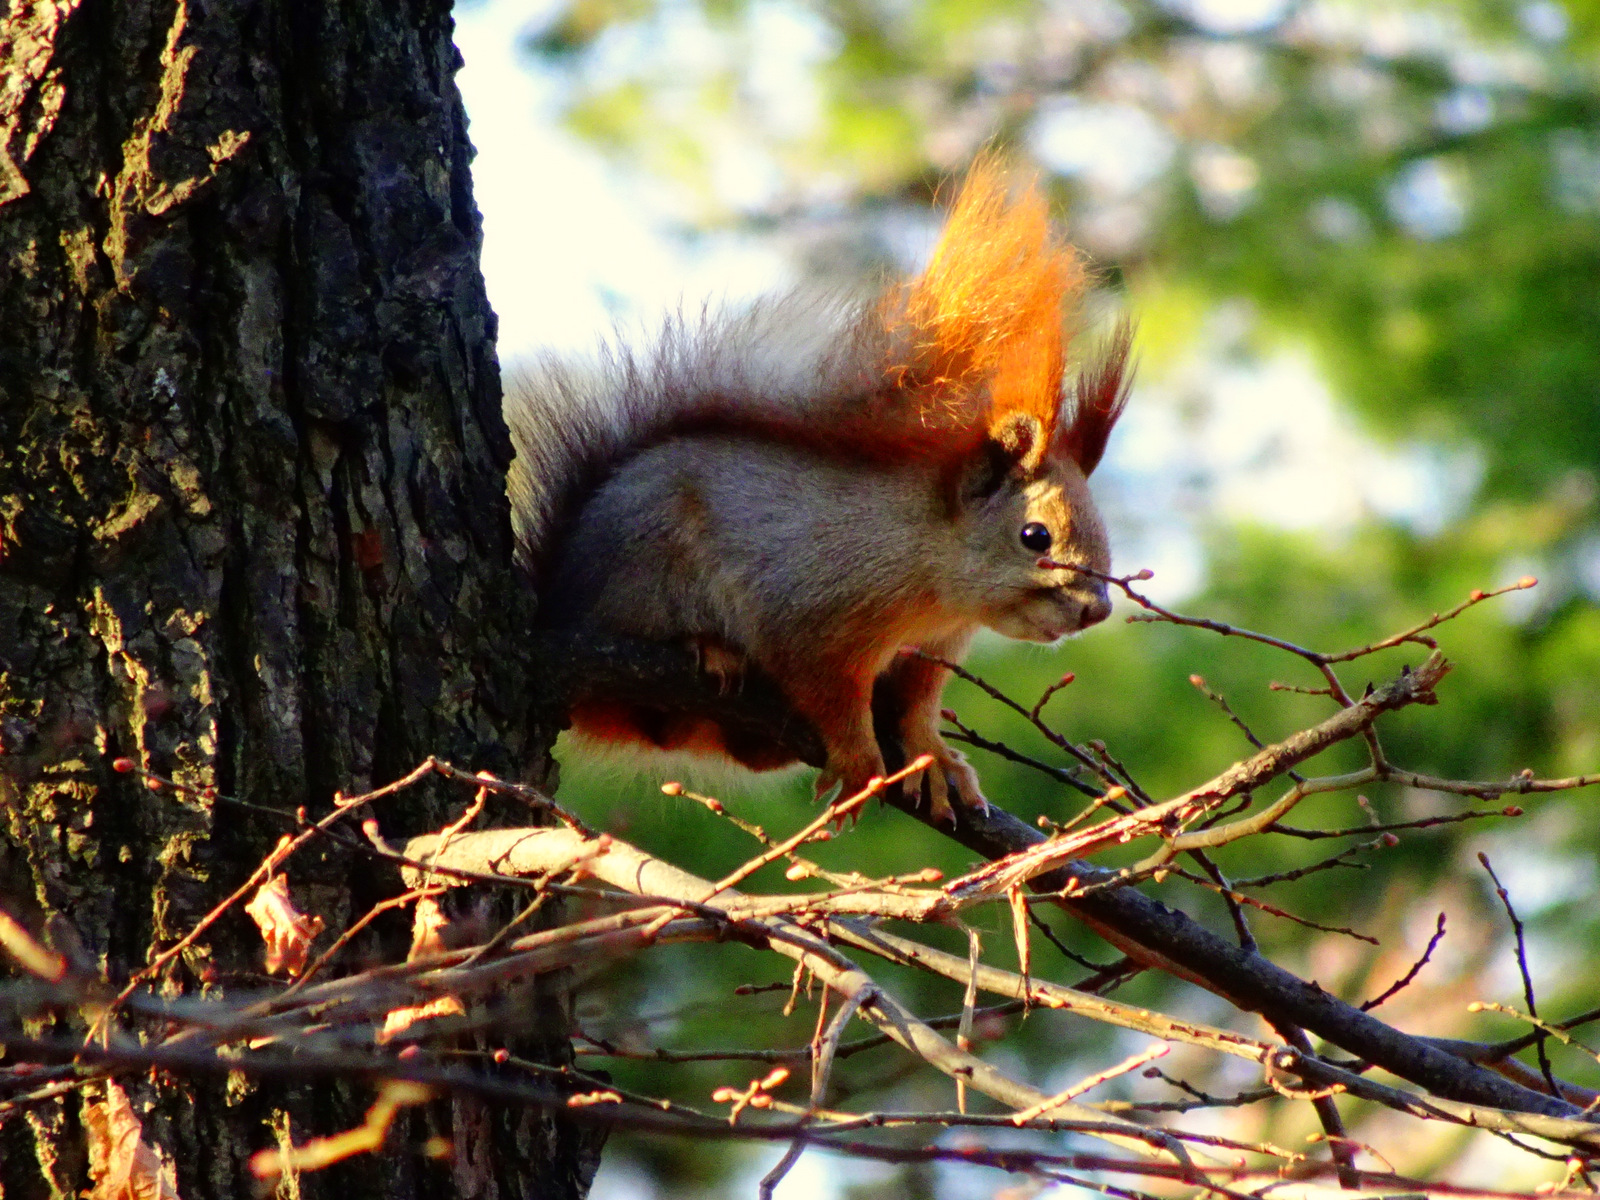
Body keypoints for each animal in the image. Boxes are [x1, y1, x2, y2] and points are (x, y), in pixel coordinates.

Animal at [505, 160, 1131, 822]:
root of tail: (561, 597)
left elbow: (915, 707)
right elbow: (828, 691)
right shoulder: (810, 613)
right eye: (1034, 536)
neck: (930, 577)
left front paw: (934, 757)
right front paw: (859, 757)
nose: (1095, 610)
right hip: (638, 580)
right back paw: (710, 649)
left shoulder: (928, 651)